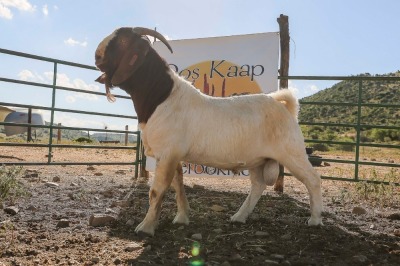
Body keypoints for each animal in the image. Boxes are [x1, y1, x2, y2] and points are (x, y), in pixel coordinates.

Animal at [95, 27, 324, 236]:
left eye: (122, 41)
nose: (97, 55)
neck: (163, 97)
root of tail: (285, 107)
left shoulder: (167, 153)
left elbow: (156, 191)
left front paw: (146, 227)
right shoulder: (174, 155)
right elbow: (178, 185)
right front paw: (182, 217)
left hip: (291, 151)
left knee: (313, 179)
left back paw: (315, 220)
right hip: (257, 160)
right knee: (258, 186)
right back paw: (239, 216)